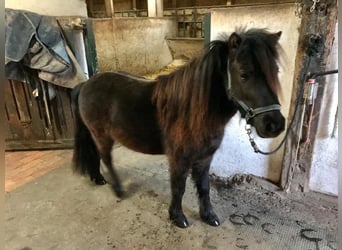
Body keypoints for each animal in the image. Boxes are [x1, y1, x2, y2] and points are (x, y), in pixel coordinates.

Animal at [72, 28, 286, 228]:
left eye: (275, 72)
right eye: (243, 74)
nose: (274, 125)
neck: (193, 111)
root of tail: (86, 84)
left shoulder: (204, 157)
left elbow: (204, 187)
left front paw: (209, 216)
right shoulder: (179, 158)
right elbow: (178, 188)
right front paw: (177, 217)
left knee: (96, 155)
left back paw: (98, 178)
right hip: (102, 135)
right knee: (106, 158)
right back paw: (118, 189)